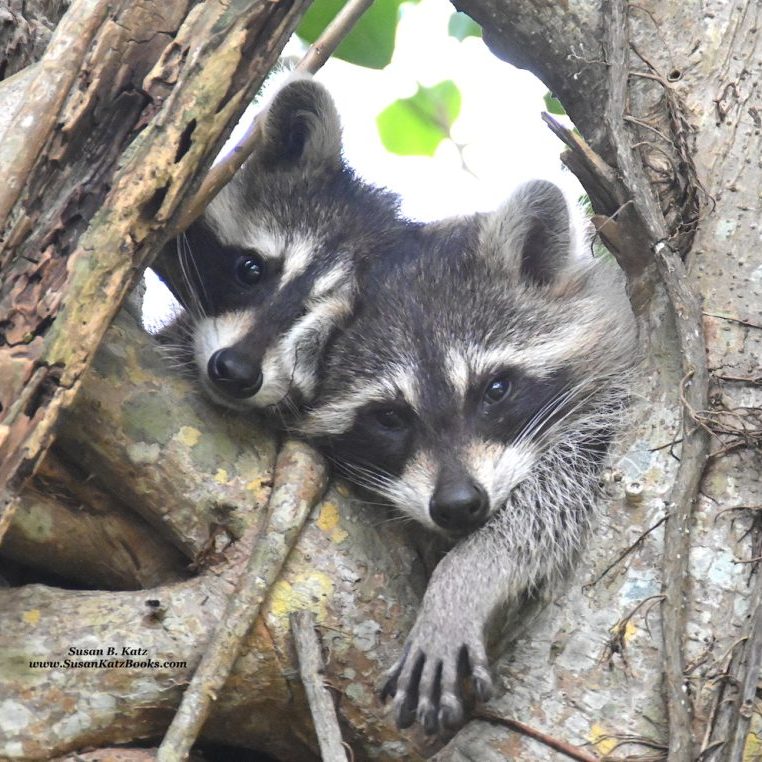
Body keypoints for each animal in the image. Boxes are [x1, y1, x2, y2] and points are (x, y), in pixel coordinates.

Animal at [302, 180, 638, 733]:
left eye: (495, 390)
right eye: (389, 418)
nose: (459, 505)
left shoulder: (620, 388)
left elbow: (562, 484)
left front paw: (466, 575)